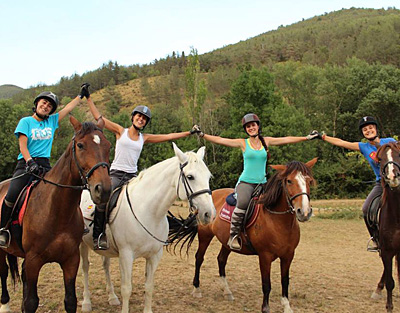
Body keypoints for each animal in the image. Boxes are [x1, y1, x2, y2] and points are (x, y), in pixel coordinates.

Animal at [0, 115, 111, 312]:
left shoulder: (70, 260)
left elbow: (70, 300)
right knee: (3, 272)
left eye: (108, 145)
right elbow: (31, 302)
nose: (103, 190)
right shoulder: (34, 261)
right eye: (80, 145)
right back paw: (5, 306)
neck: (56, 211)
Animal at [78, 143, 216, 312]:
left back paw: (112, 297)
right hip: (82, 243)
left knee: (106, 265)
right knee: (85, 267)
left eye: (208, 177)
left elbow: (149, 287)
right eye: (190, 177)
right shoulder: (126, 255)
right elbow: (126, 288)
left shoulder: (154, 256)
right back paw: (86, 302)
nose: (209, 214)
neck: (148, 211)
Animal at [168, 158, 316, 312]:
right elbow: (266, 284)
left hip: (226, 242)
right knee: (199, 258)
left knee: (221, 260)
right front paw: (265, 308)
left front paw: (287, 307)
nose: (304, 212)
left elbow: (285, 281)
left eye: (309, 181)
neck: (276, 221)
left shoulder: (288, 256)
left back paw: (227, 291)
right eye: (289, 181)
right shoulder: (265, 256)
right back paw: (197, 289)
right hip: (205, 236)